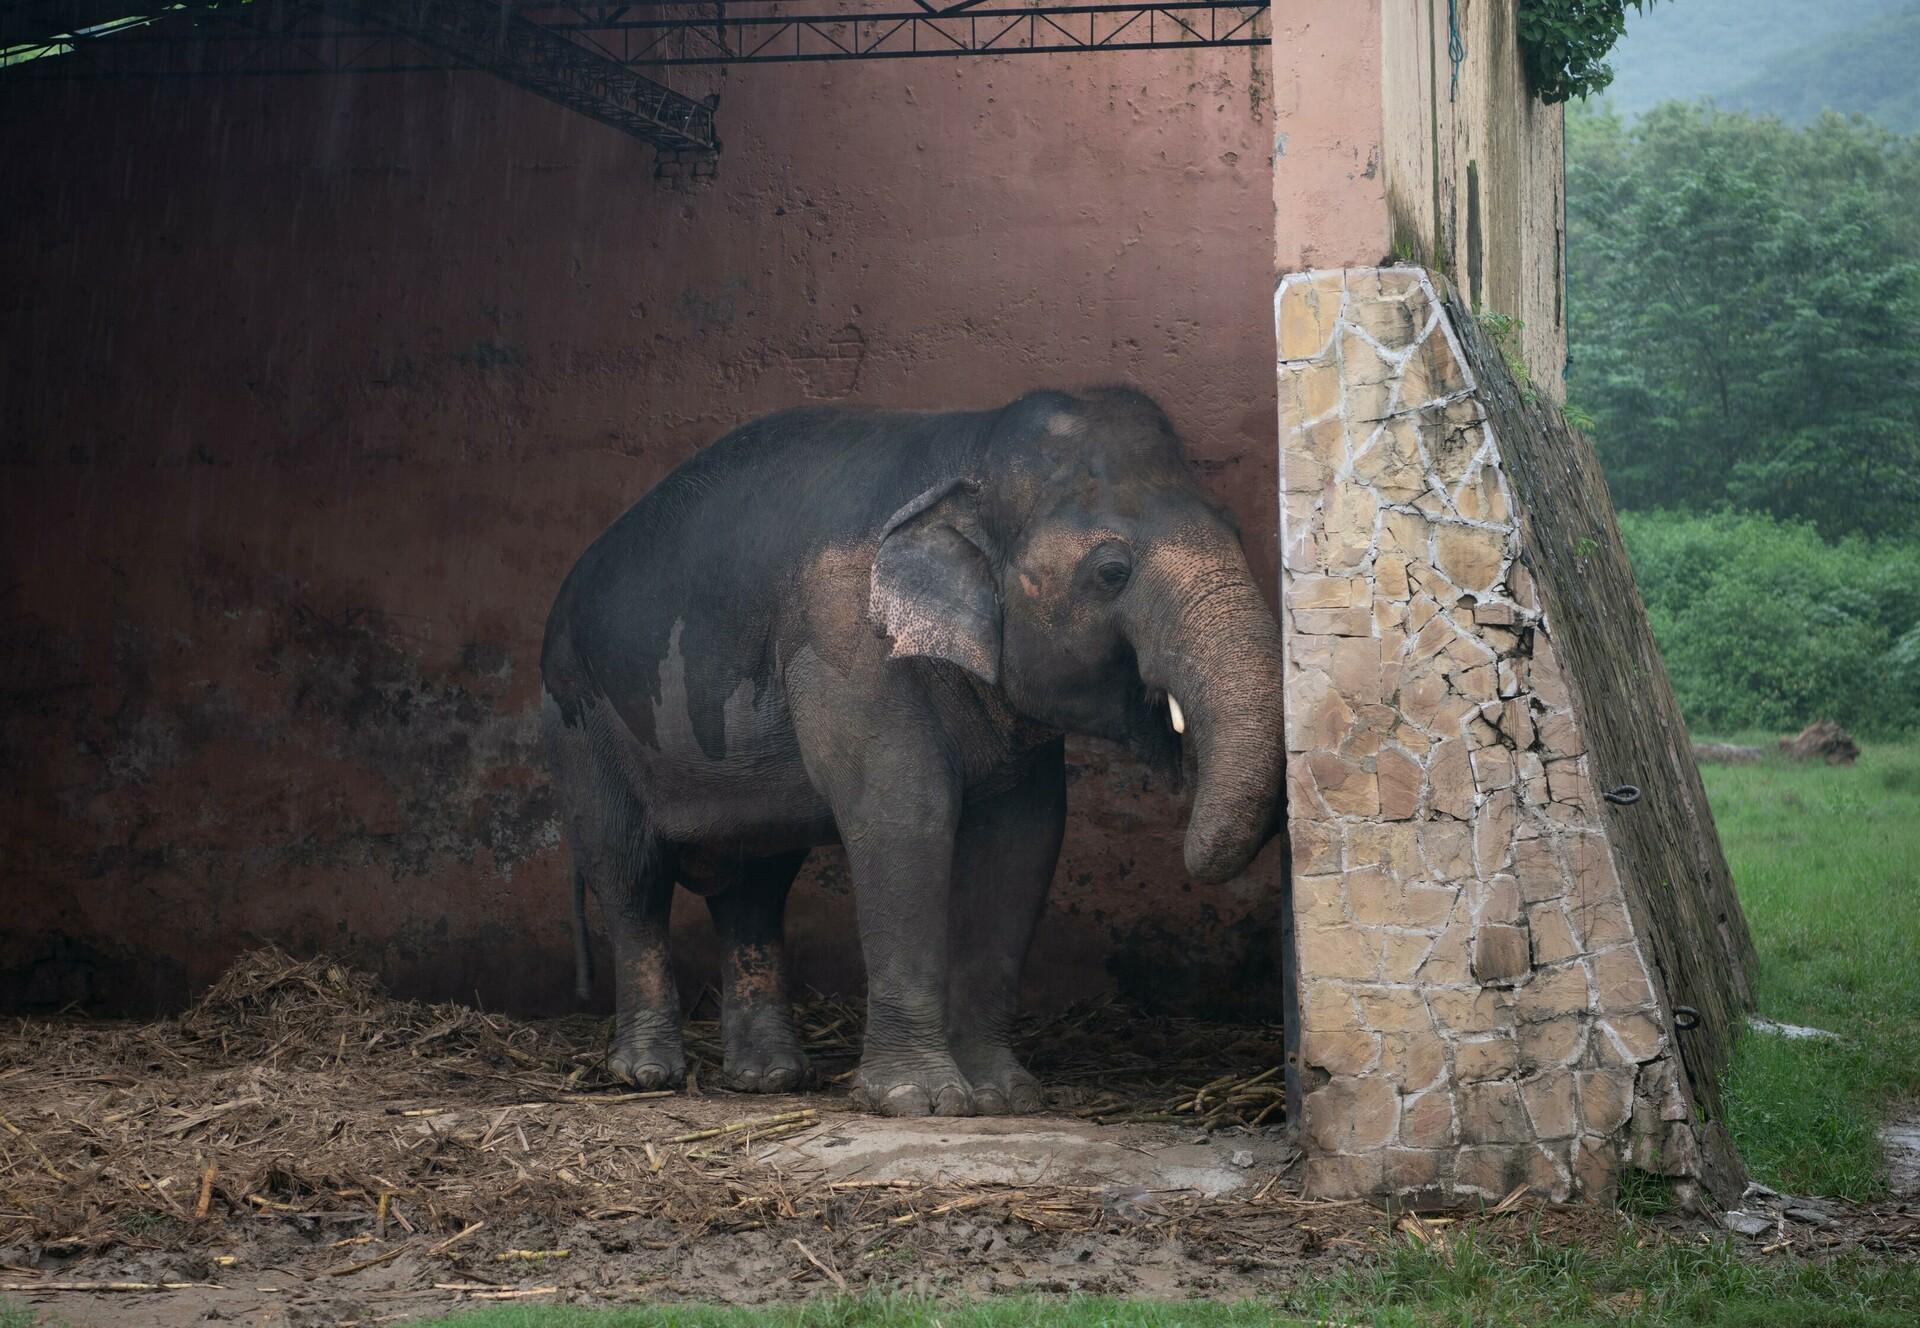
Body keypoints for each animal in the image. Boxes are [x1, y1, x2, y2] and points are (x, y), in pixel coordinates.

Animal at [539, 386, 1285, 1116]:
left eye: (1238, 528)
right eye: (1111, 572)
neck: (972, 451)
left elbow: (1023, 838)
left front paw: (1003, 1097)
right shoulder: (851, 648)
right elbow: (905, 816)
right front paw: (916, 1101)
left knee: (755, 882)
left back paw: (769, 1079)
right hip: (580, 717)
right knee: (630, 871)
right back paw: (647, 1075)